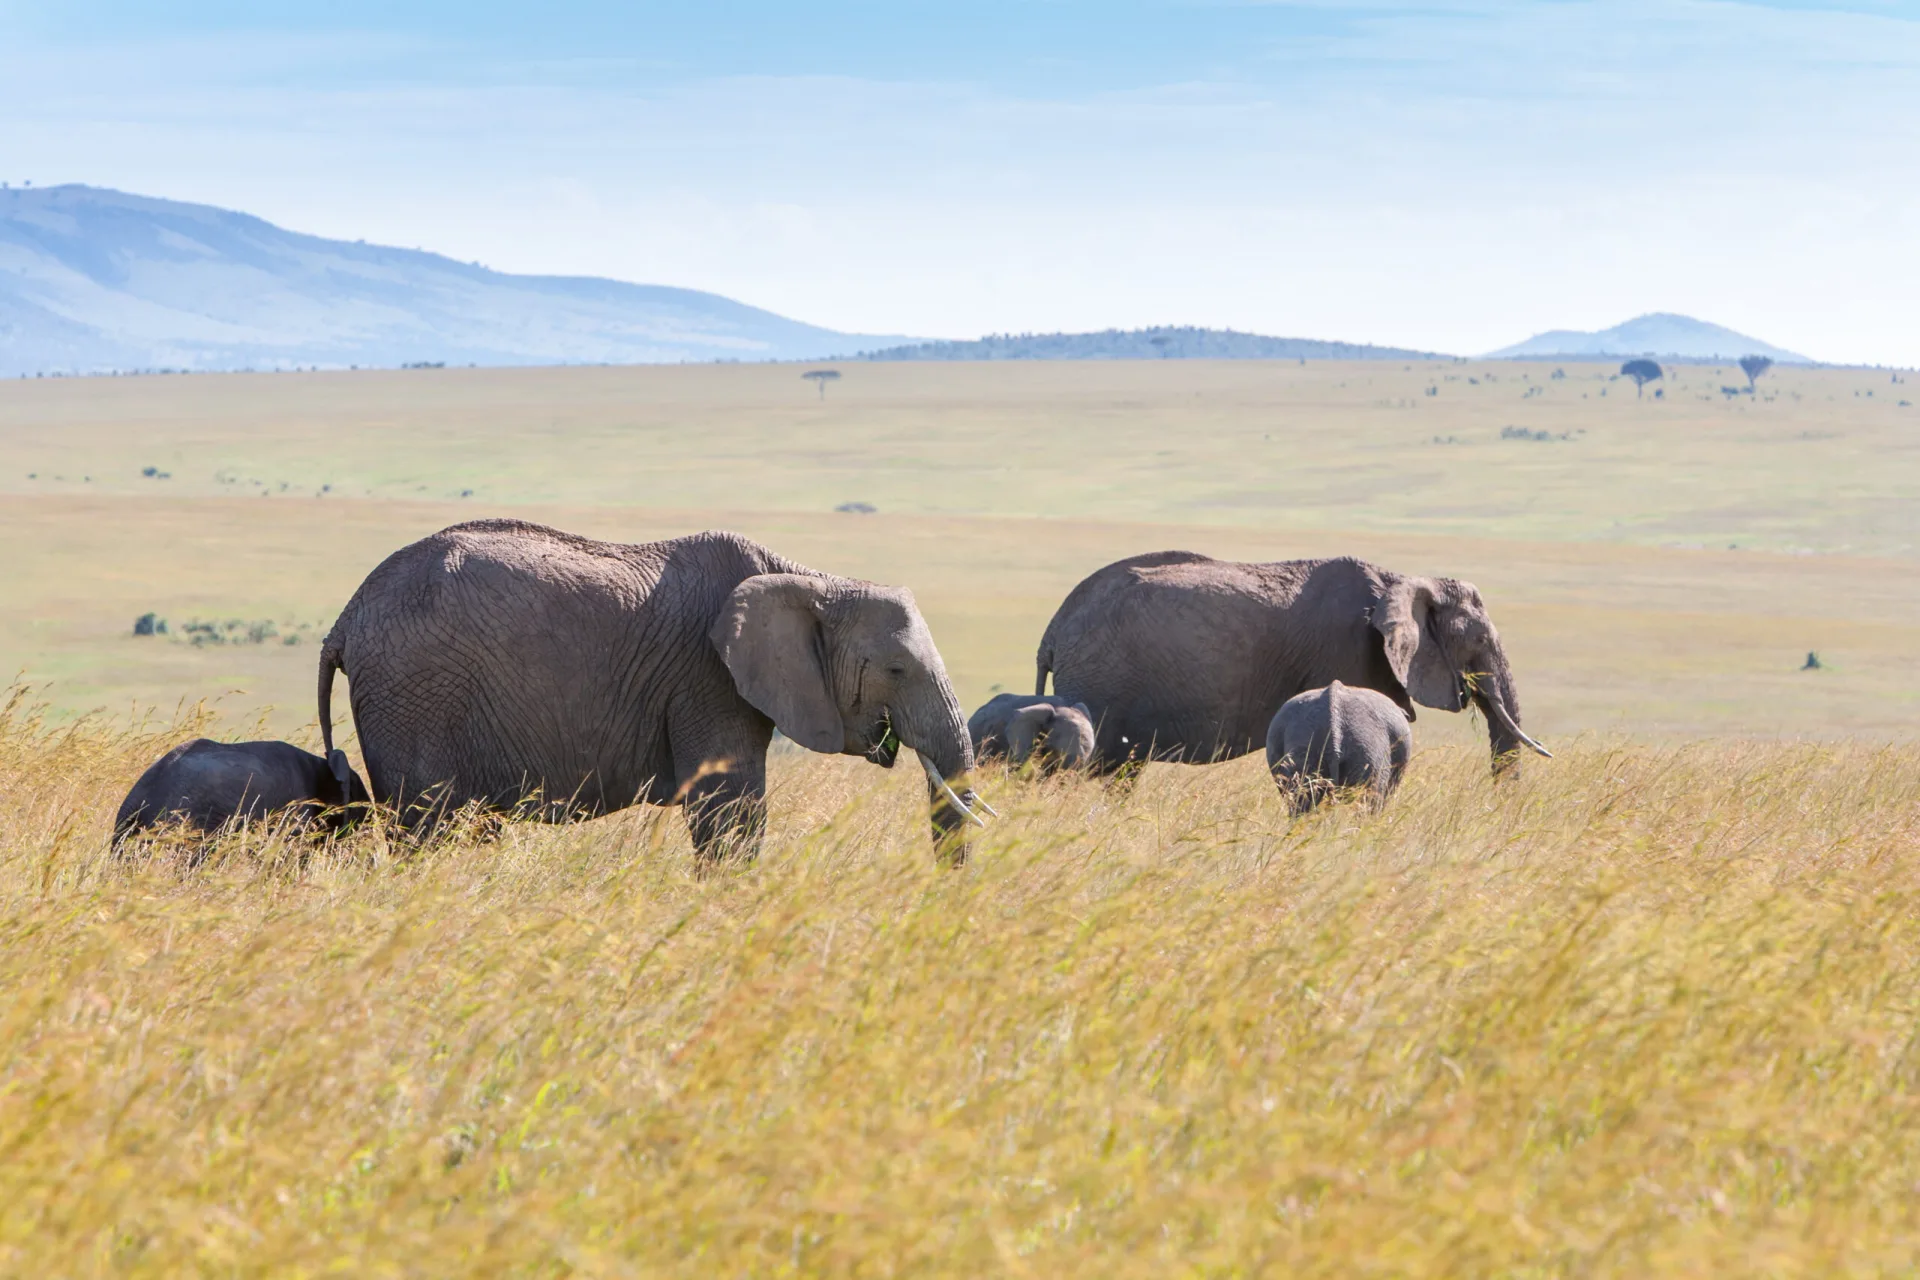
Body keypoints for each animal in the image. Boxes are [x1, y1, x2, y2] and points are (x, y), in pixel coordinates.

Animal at [318, 519, 987, 861]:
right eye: (896, 670)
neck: (810, 579)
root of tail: (346, 617)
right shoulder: (708, 680)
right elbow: (729, 813)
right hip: (414, 695)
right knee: (428, 828)